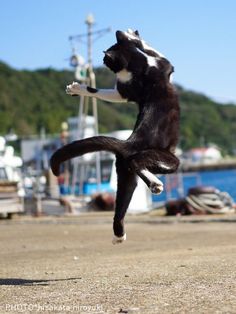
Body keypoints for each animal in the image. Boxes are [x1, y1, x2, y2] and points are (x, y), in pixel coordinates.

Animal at [49, 30, 179, 243]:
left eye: (107, 57)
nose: (102, 61)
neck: (140, 68)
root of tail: (127, 143)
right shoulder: (164, 64)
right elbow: (153, 51)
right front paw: (132, 36)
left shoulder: (124, 92)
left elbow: (98, 91)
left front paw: (78, 89)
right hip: (168, 159)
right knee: (138, 162)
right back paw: (156, 184)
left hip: (125, 177)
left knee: (120, 208)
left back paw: (119, 235)